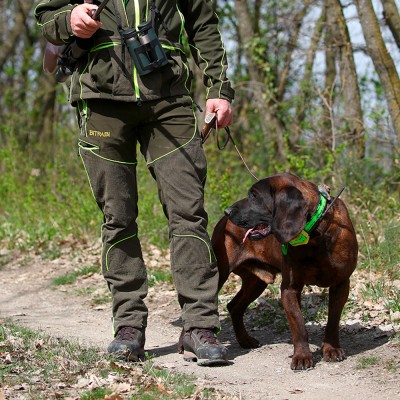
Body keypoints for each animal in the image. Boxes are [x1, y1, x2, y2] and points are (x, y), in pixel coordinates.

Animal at [214, 173, 358, 370]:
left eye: (254, 196)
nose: (226, 211)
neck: (316, 235)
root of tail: (221, 223)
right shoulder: (290, 288)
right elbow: (298, 323)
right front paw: (302, 356)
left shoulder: (341, 284)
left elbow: (333, 319)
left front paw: (332, 349)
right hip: (220, 273)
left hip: (256, 283)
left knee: (234, 306)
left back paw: (245, 340)